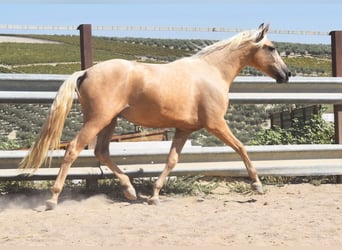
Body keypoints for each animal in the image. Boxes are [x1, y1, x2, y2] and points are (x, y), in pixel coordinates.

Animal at [20, 23, 290, 209]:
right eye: (271, 47)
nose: (286, 74)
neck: (212, 71)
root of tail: (86, 72)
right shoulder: (215, 124)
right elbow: (241, 147)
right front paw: (257, 184)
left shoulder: (184, 129)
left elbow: (172, 161)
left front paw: (154, 196)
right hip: (97, 120)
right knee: (73, 149)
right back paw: (53, 199)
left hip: (109, 121)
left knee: (101, 152)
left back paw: (130, 191)